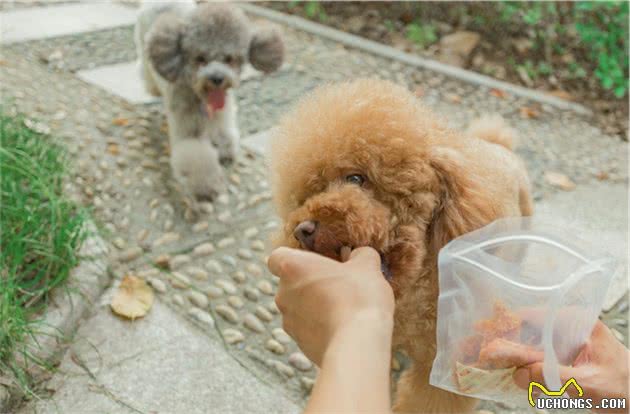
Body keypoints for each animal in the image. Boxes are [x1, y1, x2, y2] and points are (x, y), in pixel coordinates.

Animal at [138, 0, 286, 201]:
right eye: (200, 58)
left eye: (230, 59)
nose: (217, 78)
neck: (201, 95)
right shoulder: (187, 128)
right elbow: (195, 152)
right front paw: (205, 186)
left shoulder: (222, 114)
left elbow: (224, 135)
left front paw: (225, 152)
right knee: (146, 72)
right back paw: (153, 88)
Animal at [270, 78, 536, 414]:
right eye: (309, 194)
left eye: (356, 178)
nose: (303, 230)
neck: (414, 297)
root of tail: (499, 146)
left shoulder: (441, 366)